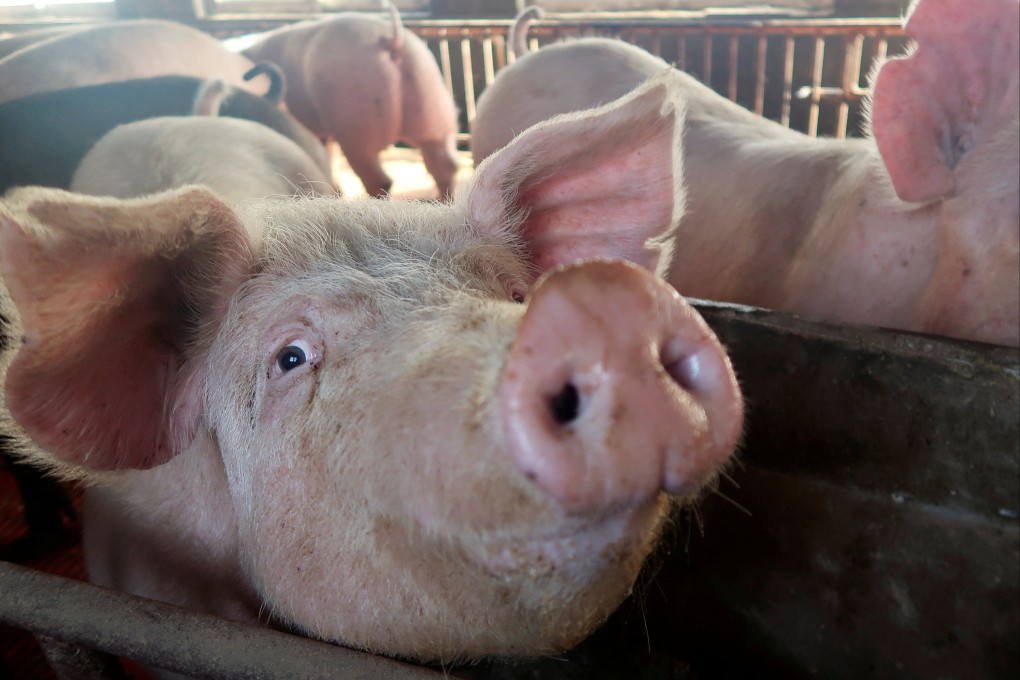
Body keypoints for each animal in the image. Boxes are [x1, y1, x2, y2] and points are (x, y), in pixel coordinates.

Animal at [242, 4, 461, 199]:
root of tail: (392, 38)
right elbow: (329, 156)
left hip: (355, 121)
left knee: (380, 180)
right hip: (432, 100)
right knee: (444, 165)